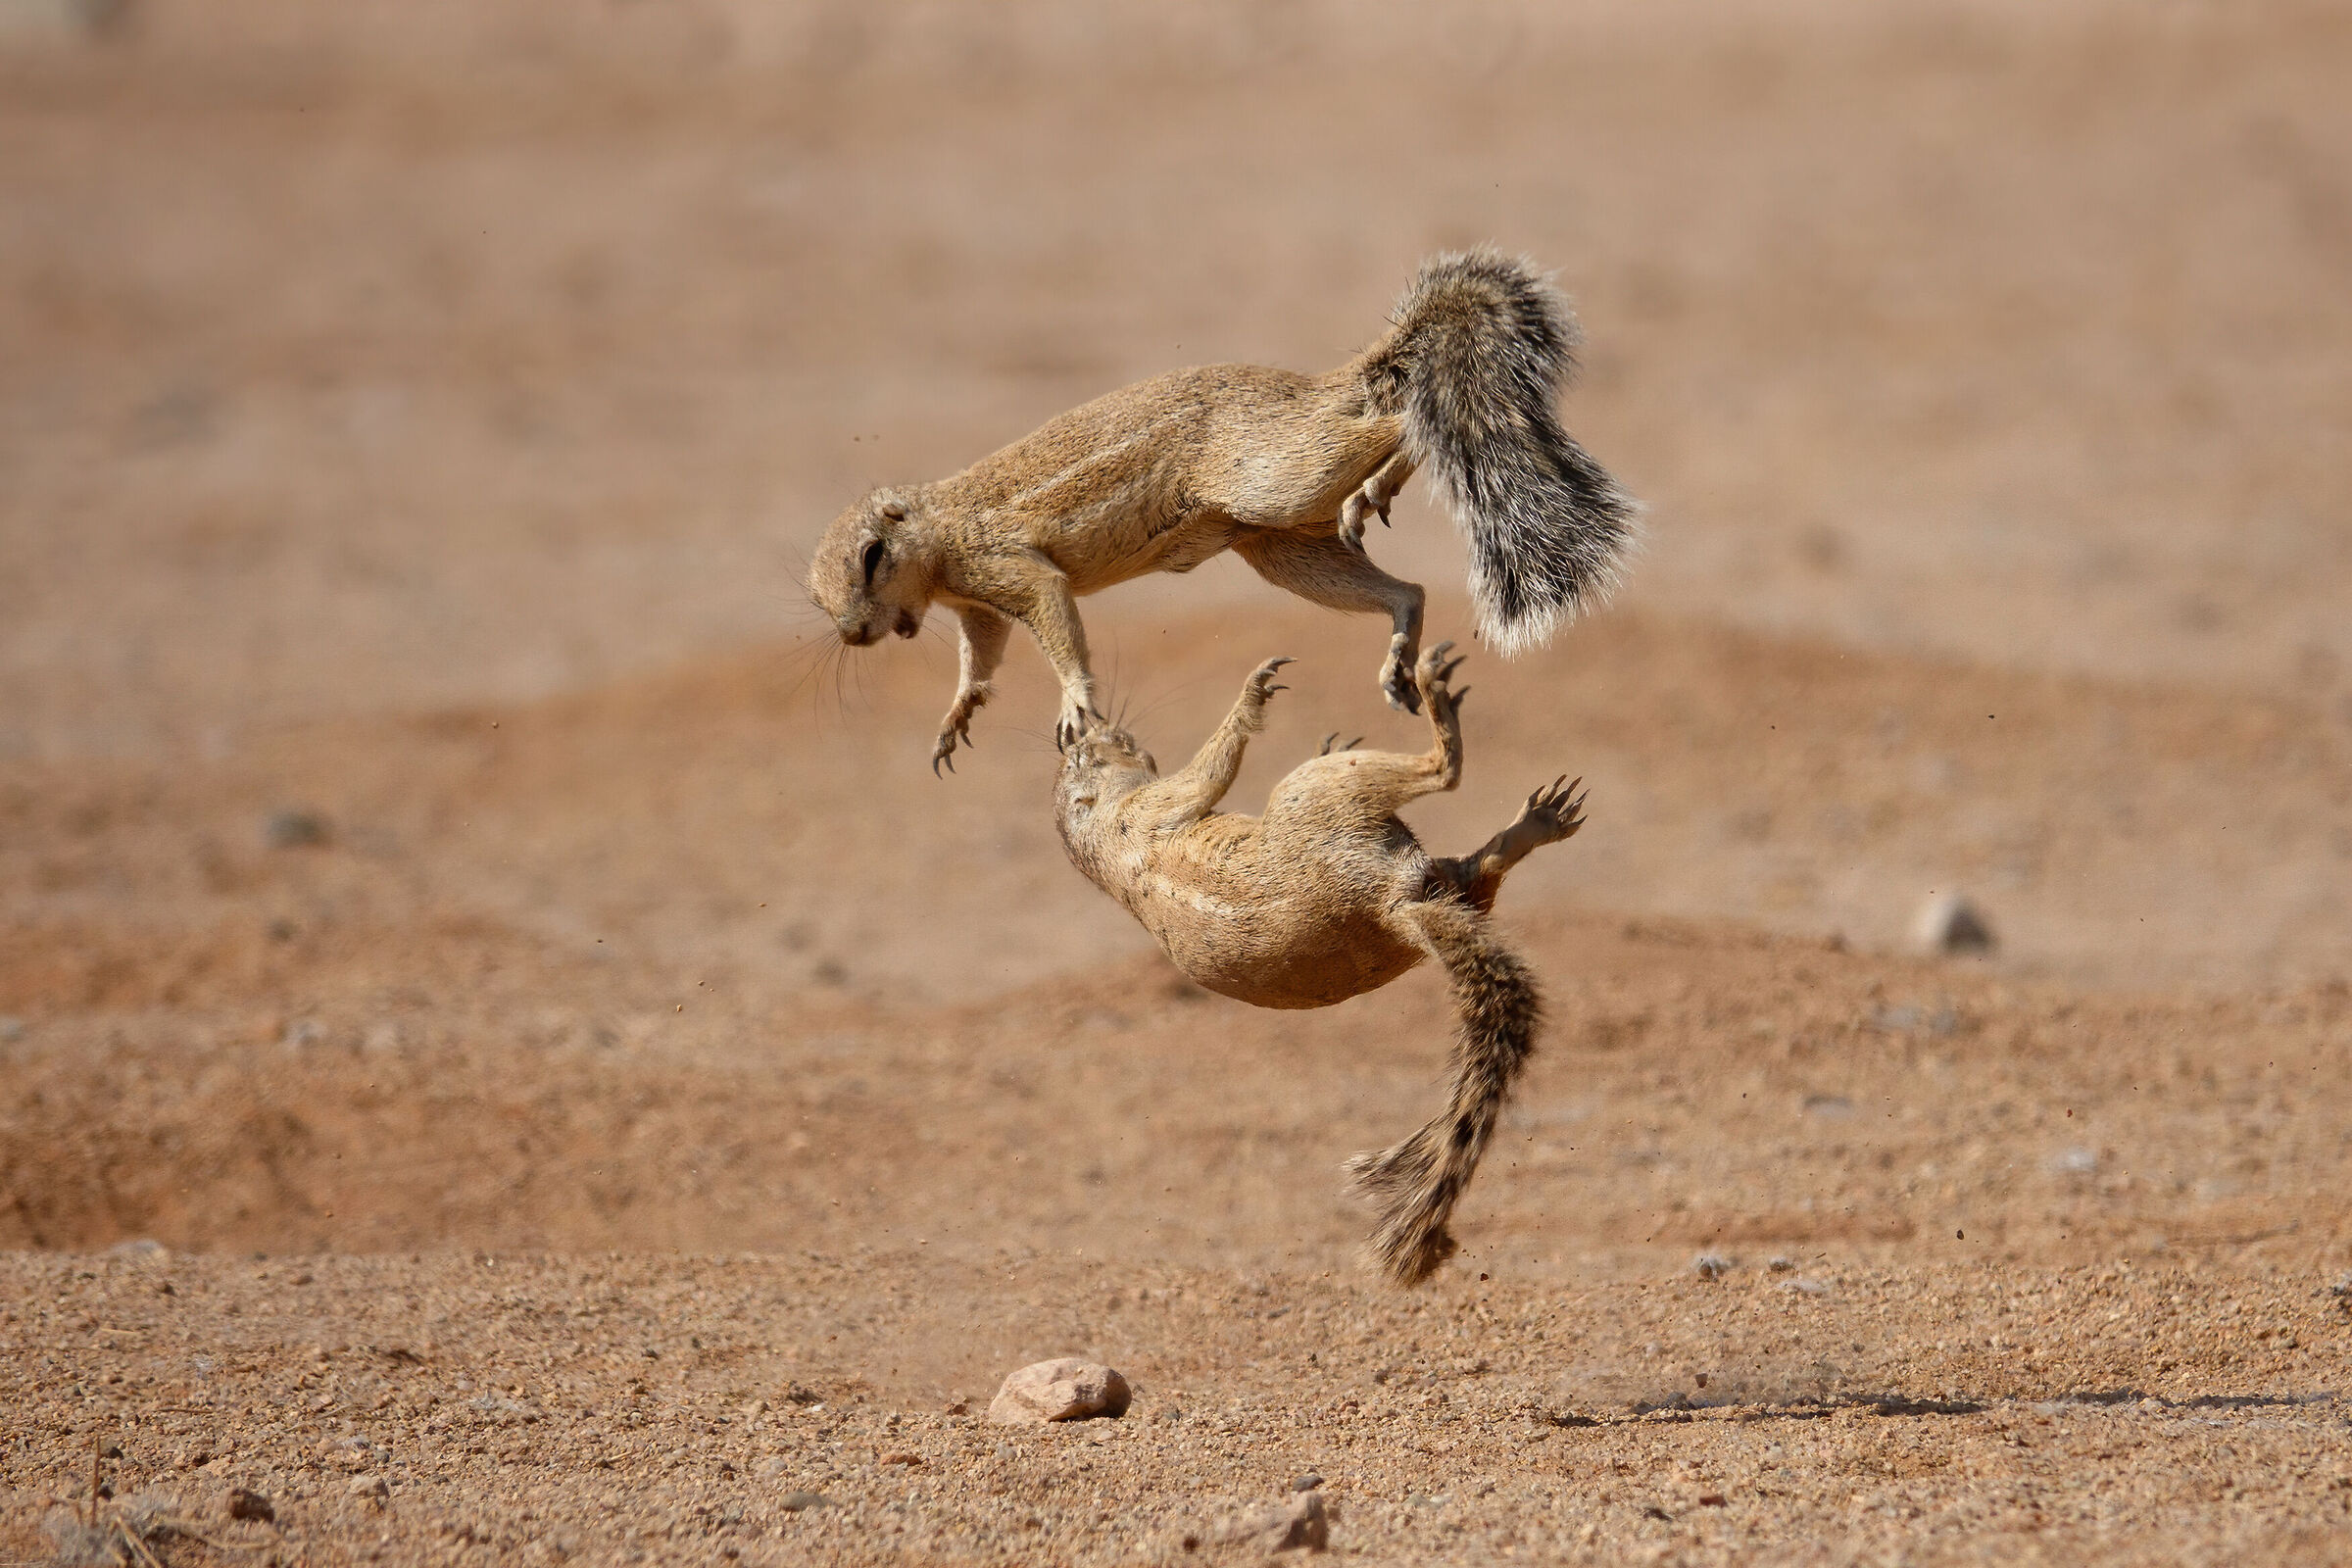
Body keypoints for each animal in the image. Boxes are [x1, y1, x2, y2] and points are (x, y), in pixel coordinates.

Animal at [808, 249, 1637, 773]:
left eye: (872, 557)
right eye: (816, 600)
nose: (852, 634)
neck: (938, 530)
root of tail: (1311, 388)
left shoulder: (1008, 566)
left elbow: (1054, 618)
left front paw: (1074, 704)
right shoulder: (978, 608)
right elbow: (980, 660)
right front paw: (956, 717)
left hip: (1277, 475)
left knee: (1394, 417)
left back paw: (1382, 478)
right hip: (1282, 547)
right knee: (1408, 590)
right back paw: (1400, 646)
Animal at [1053, 644, 1586, 1286]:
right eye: (1085, 757)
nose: (1087, 730)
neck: (1097, 844)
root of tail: (1390, 908)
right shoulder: (1152, 806)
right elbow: (1206, 772)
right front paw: (1255, 692)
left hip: (1415, 866)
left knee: (1473, 875)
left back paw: (1536, 822)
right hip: (1318, 796)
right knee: (1440, 776)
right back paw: (1439, 702)